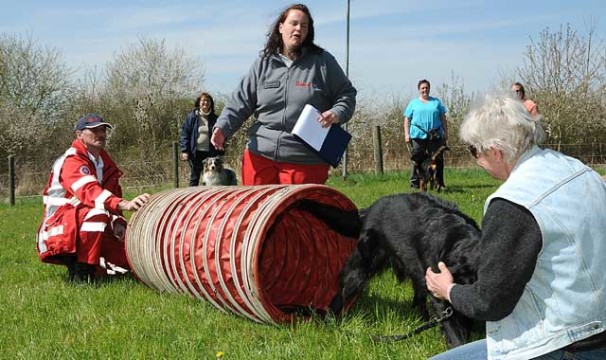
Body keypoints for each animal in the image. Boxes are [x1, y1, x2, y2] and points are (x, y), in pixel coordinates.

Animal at [330, 194, 482, 348]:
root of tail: (369, 209)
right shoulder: (440, 293)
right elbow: (454, 332)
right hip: (362, 266)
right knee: (342, 292)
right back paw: (330, 323)